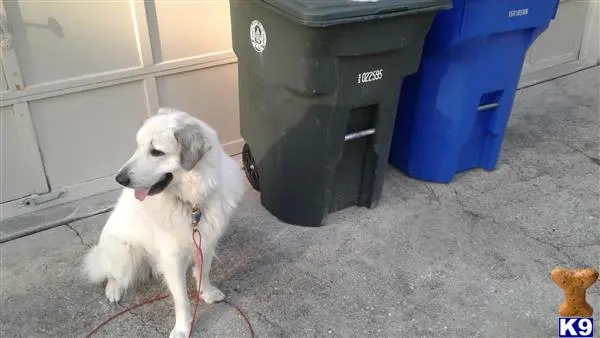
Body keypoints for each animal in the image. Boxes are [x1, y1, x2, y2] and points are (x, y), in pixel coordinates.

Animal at [83, 107, 245, 336]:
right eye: (138, 145)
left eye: (156, 152)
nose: (119, 179)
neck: (192, 203)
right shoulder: (172, 257)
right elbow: (182, 300)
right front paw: (182, 329)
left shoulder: (205, 243)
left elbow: (202, 273)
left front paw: (206, 293)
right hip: (123, 252)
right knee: (111, 274)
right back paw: (113, 289)